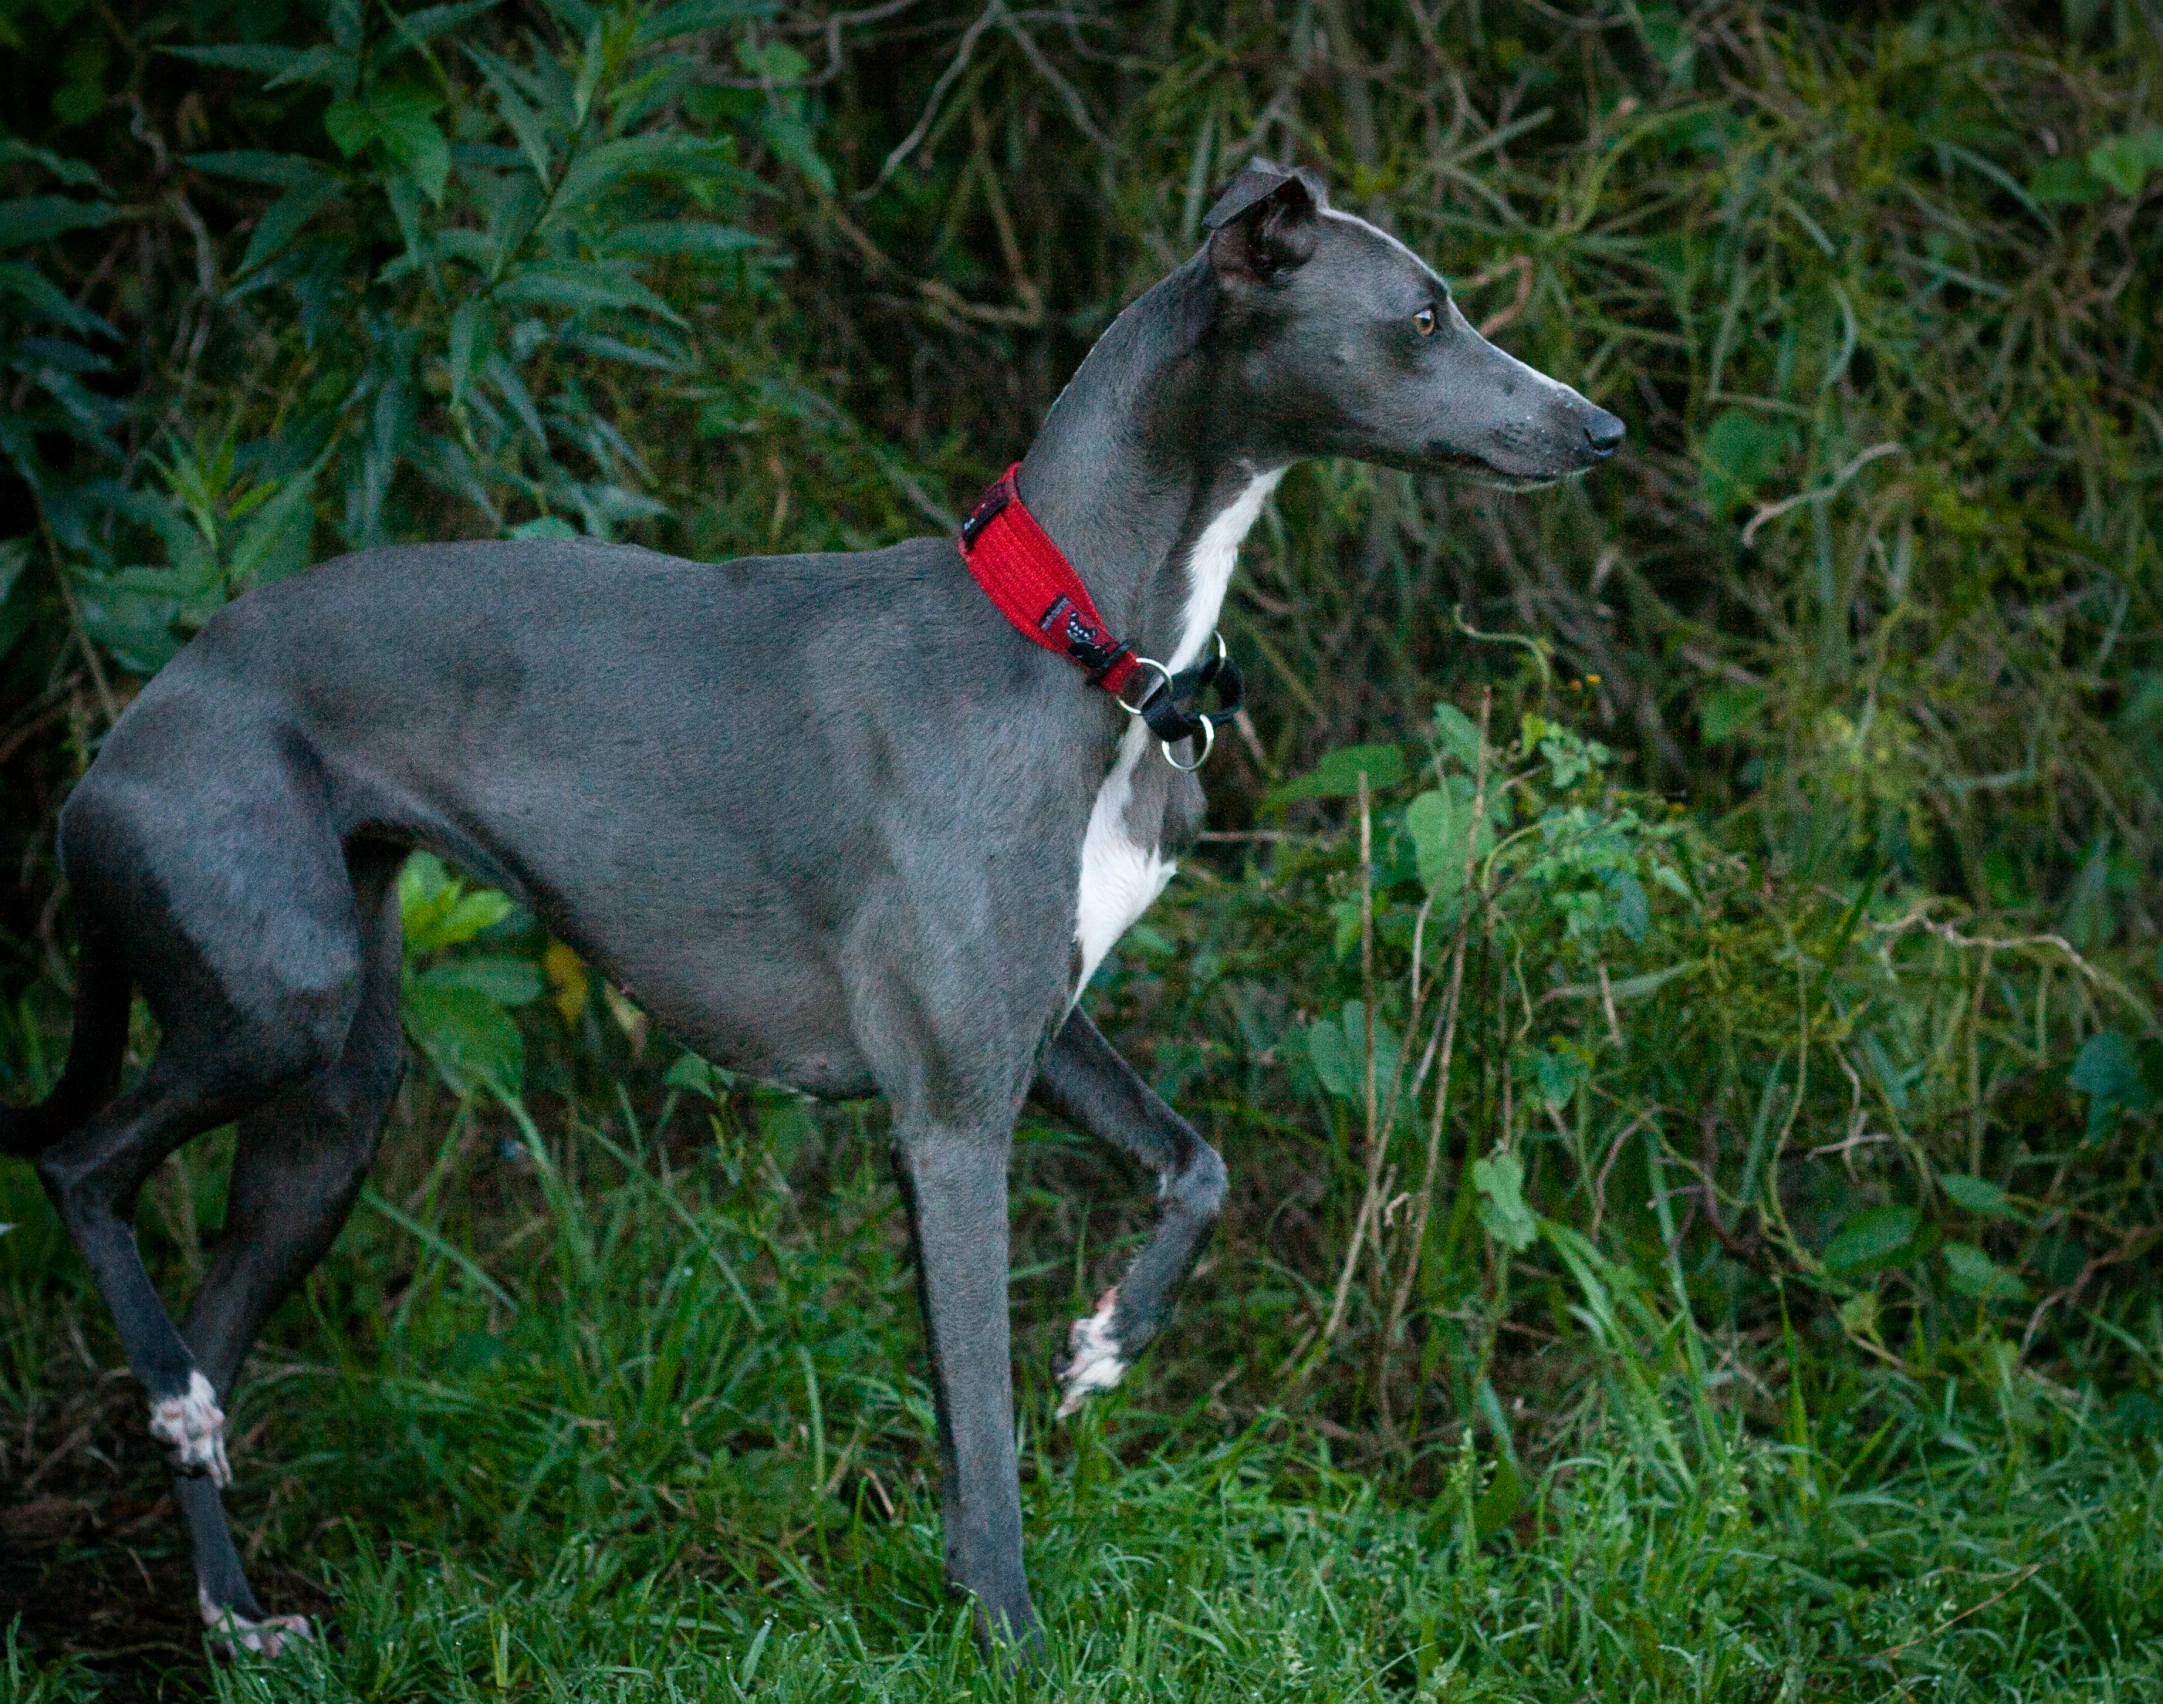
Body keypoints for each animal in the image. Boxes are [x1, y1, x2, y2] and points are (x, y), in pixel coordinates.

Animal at [0, 163, 1617, 1652]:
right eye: (1423, 316)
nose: (1601, 430)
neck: (1065, 639)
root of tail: (129, 734)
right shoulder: (952, 1119)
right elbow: (983, 1433)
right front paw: (1015, 1642)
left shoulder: (1036, 1037)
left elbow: (1193, 1169)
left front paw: (1104, 1348)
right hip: (282, 1001)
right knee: (81, 1170)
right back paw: (173, 1406)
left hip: (336, 1105)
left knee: (214, 1323)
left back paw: (228, 1595)